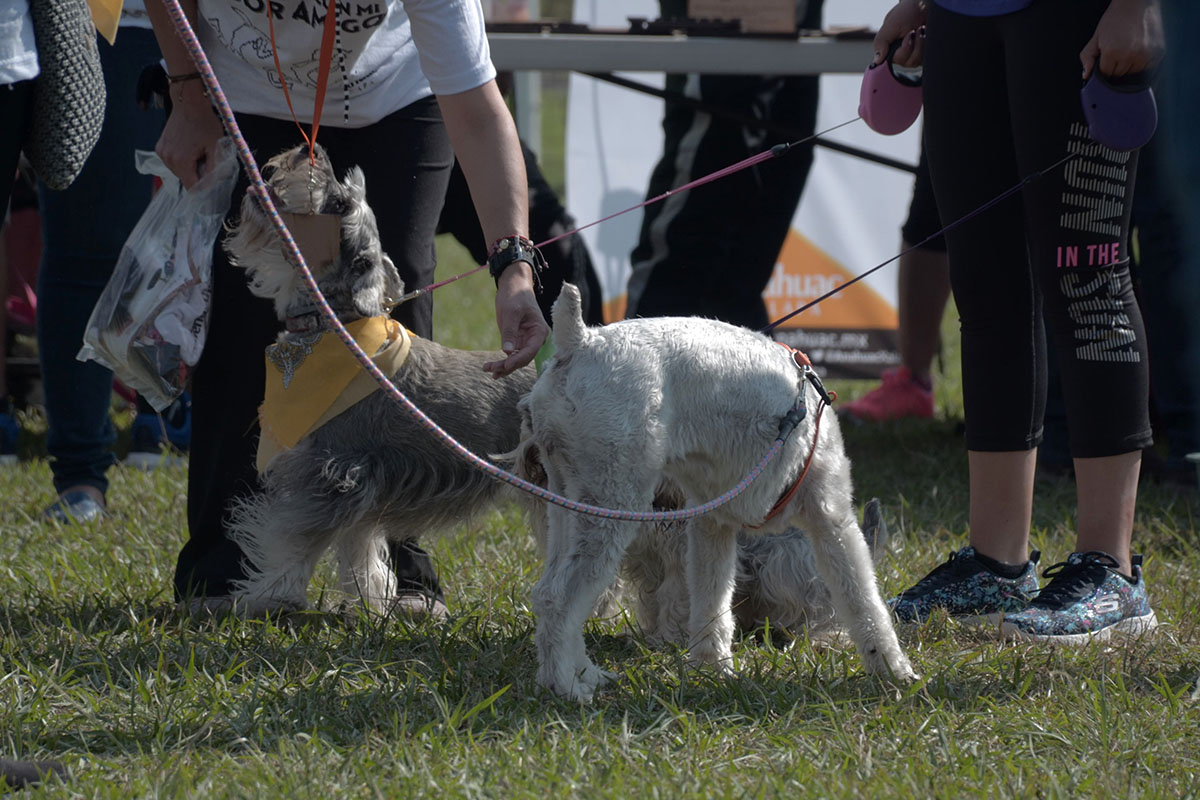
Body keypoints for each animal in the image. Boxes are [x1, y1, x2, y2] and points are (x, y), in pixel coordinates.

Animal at [223, 146, 532, 618]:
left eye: (338, 204)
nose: (309, 152)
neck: (333, 327)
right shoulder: (362, 489)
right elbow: (361, 552)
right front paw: (376, 603)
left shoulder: (332, 476)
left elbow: (291, 544)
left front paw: (266, 598)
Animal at [520, 286, 912, 700]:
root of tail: (579, 340)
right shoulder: (832, 518)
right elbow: (863, 599)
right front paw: (893, 669)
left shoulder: (712, 525)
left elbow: (712, 599)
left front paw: (713, 668)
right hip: (611, 502)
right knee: (560, 598)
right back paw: (566, 687)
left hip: (569, 501)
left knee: (549, 591)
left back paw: (582, 674)